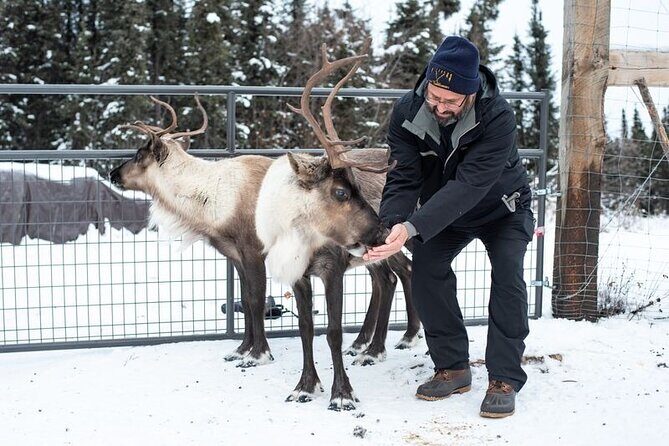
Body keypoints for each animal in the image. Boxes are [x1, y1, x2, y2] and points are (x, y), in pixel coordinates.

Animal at [108, 94, 420, 376]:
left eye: (139, 154)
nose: (113, 173)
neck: (211, 203)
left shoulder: (254, 251)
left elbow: (257, 300)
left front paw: (258, 354)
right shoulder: (235, 255)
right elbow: (245, 300)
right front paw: (241, 349)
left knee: (393, 276)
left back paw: (379, 348)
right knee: (391, 277)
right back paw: (369, 342)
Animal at [255, 41, 420, 410]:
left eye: (358, 185)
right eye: (341, 191)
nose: (382, 230)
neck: (298, 235)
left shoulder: (334, 268)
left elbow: (332, 330)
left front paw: (342, 394)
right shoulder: (300, 274)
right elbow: (305, 327)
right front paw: (305, 386)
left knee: (405, 272)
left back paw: (392, 343)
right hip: (370, 254)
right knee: (388, 278)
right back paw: (369, 346)